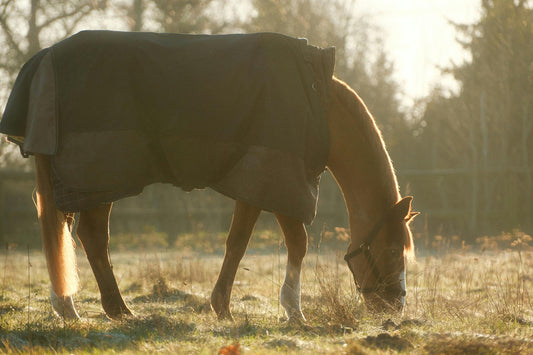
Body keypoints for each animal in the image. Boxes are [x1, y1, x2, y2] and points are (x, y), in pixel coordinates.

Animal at [32, 76, 416, 322]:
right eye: (393, 250)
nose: (395, 308)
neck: (315, 107)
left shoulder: (260, 188)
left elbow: (238, 243)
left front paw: (223, 306)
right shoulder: (278, 182)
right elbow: (293, 243)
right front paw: (292, 310)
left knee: (65, 235)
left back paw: (67, 306)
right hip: (102, 181)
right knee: (92, 237)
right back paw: (117, 310)